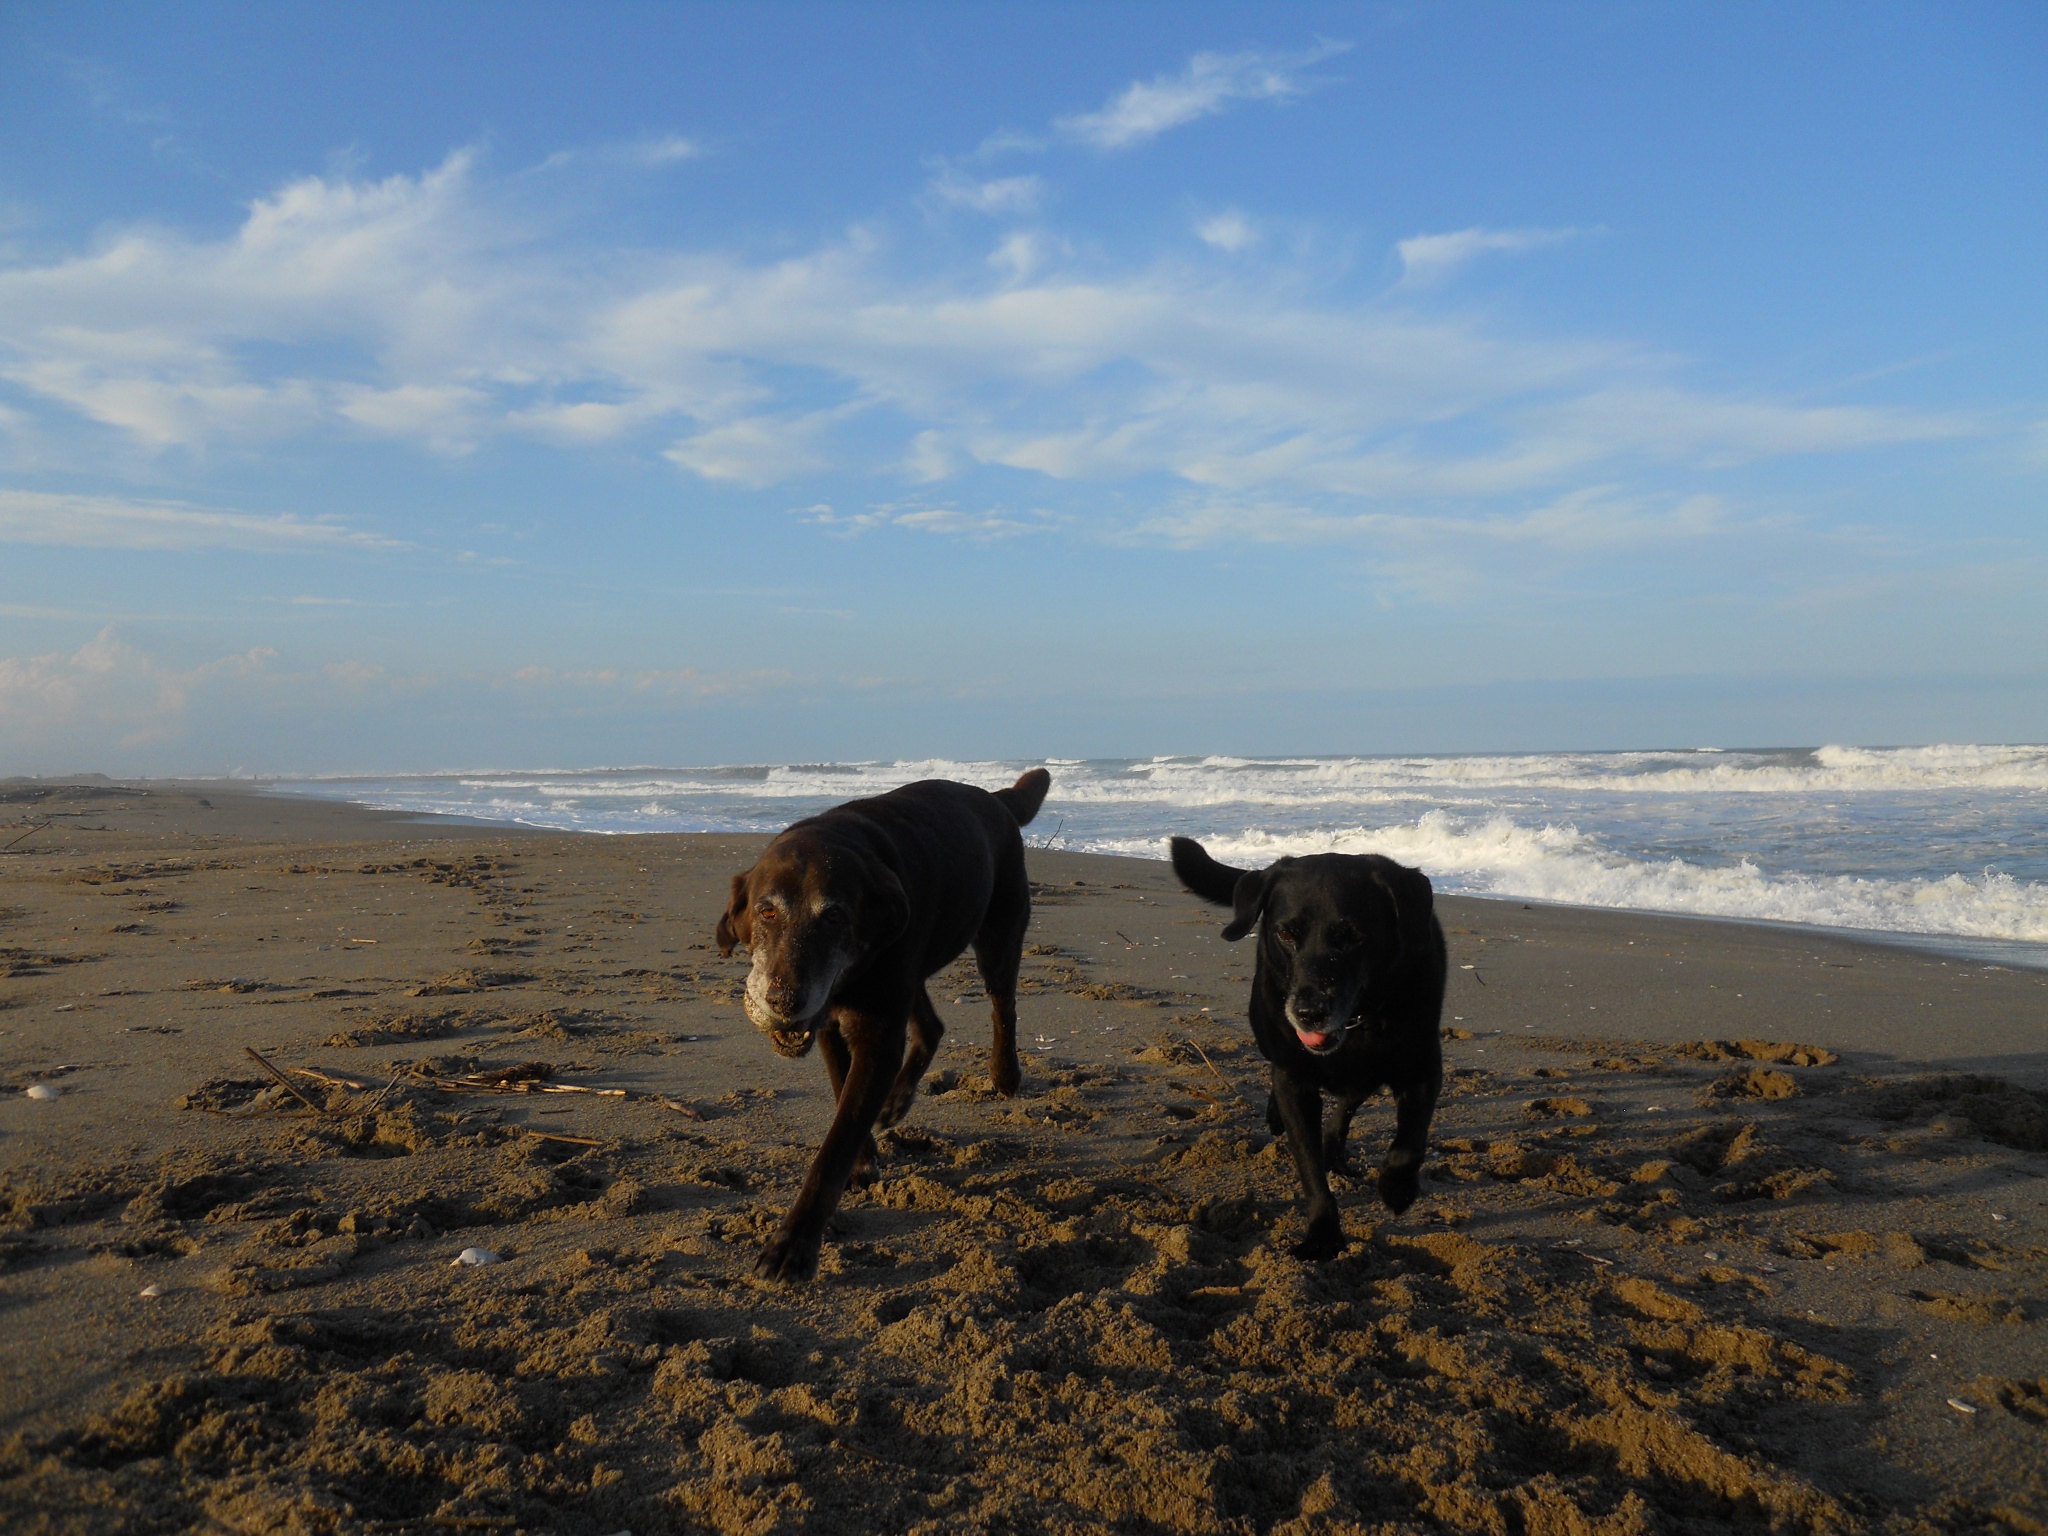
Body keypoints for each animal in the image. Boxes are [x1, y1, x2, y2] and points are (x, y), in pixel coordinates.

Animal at [716, 768, 1051, 1281]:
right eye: (765, 910)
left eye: (834, 915)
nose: (784, 1000)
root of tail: (996, 798)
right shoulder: (832, 1020)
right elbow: (842, 1088)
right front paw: (864, 1158)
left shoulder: (875, 1034)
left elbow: (835, 1144)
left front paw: (794, 1244)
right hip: (909, 970)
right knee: (931, 1024)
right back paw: (895, 1100)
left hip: (997, 935)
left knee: (1003, 1007)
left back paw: (1004, 1074)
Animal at [1170, 837, 1446, 1260]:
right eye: (1286, 934)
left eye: (1353, 936)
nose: (1309, 1013)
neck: (1359, 1022)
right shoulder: (1295, 1081)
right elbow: (1310, 1168)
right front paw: (1323, 1235)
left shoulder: (1423, 1066)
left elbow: (1410, 1140)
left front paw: (1396, 1188)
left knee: (1349, 1102)